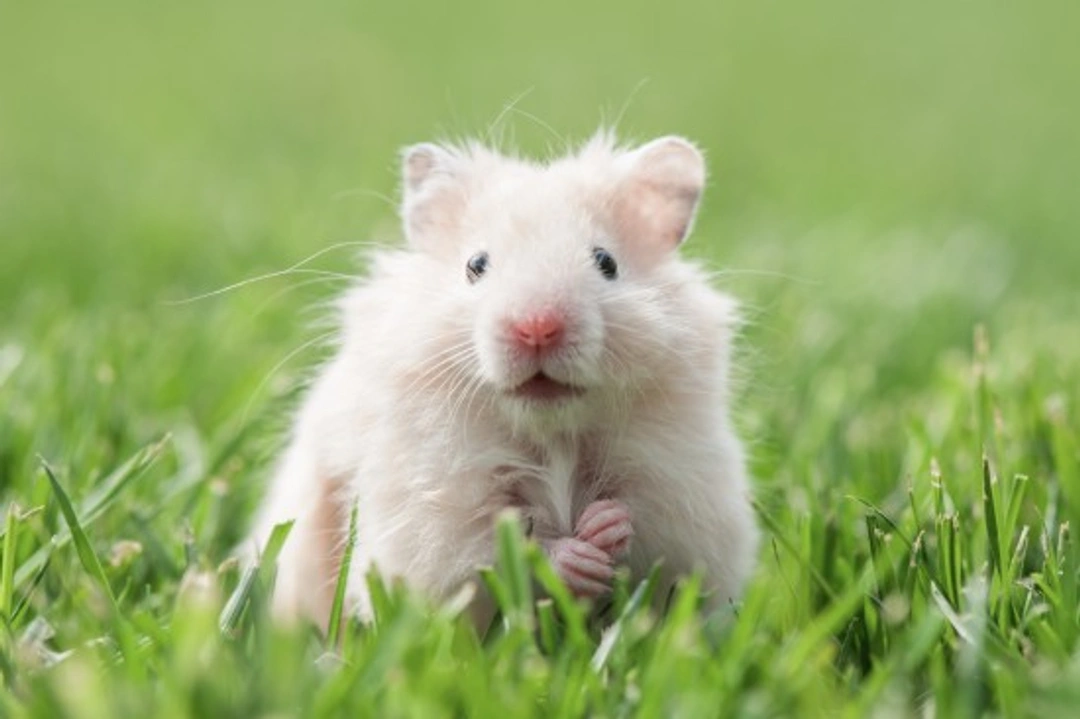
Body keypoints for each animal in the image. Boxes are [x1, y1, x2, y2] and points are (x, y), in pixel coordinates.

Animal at [247, 131, 759, 629]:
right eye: (476, 265)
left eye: (606, 262)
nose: (538, 327)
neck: (551, 431)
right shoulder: (433, 515)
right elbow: (496, 548)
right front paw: (576, 557)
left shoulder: (683, 494)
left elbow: (647, 526)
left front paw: (604, 525)